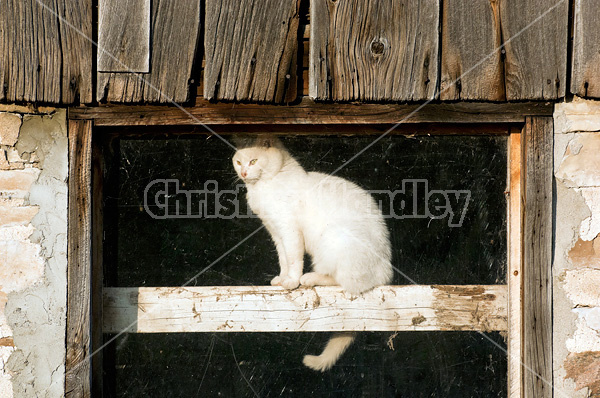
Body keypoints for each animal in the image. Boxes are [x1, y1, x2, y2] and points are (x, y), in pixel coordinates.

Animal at [231, 136, 394, 370]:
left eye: (253, 161)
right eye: (238, 162)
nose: (243, 173)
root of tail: (386, 270)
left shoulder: (290, 230)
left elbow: (294, 259)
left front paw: (292, 281)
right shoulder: (276, 233)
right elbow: (283, 259)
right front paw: (281, 279)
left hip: (333, 238)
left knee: (343, 283)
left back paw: (309, 278)